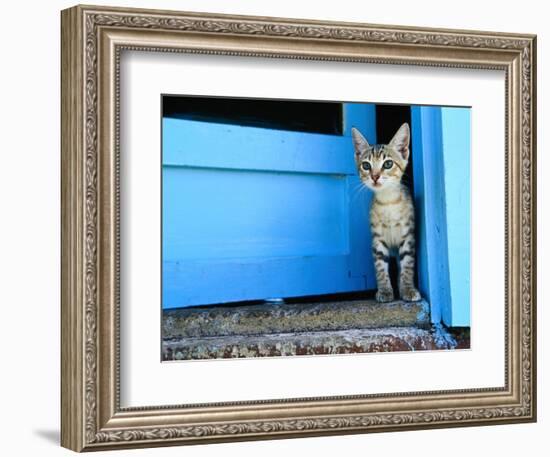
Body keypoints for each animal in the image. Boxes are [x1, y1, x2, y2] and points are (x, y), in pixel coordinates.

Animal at [354, 123, 422, 302]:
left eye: (388, 164)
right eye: (366, 165)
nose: (375, 176)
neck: (388, 202)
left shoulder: (408, 236)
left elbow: (407, 265)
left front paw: (407, 289)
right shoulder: (377, 239)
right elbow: (380, 266)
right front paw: (384, 290)